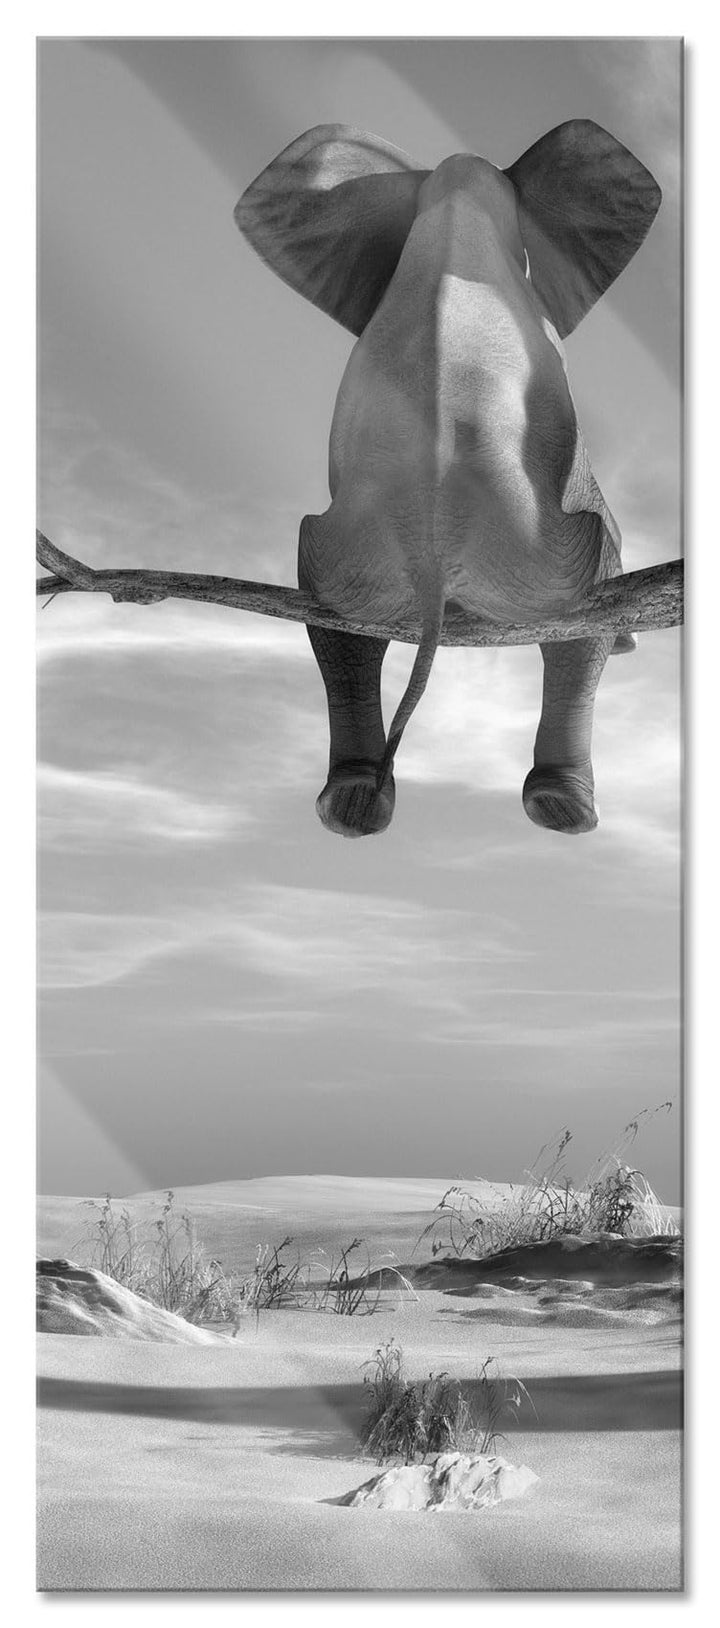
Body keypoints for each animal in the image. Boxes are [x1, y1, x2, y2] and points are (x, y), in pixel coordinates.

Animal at [235, 120, 661, 838]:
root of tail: (431, 552)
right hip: (544, 551)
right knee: (581, 608)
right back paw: (564, 809)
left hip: (348, 554)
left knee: (336, 624)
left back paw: (351, 806)